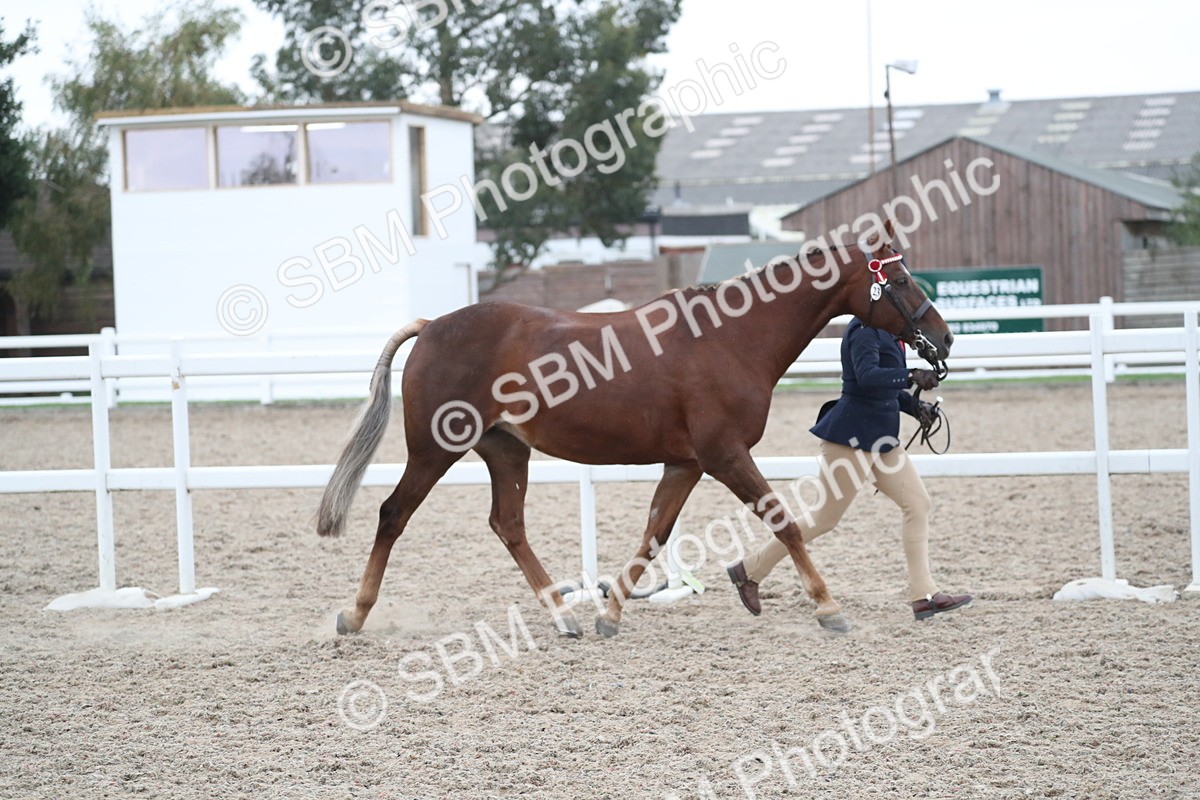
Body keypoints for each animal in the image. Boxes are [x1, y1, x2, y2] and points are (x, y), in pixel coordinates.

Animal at [317, 220, 953, 638]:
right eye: (900, 280)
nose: (944, 340)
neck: (731, 338)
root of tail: (431, 326)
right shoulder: (725, 456)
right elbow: (785, 522)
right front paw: (827, 607)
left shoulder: (687, 463)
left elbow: (654, 534)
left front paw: (610, 614)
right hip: (433, 450)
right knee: (393, 515)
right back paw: (354, 614)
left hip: (506, 451)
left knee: (508, 525)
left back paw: (564, 617)